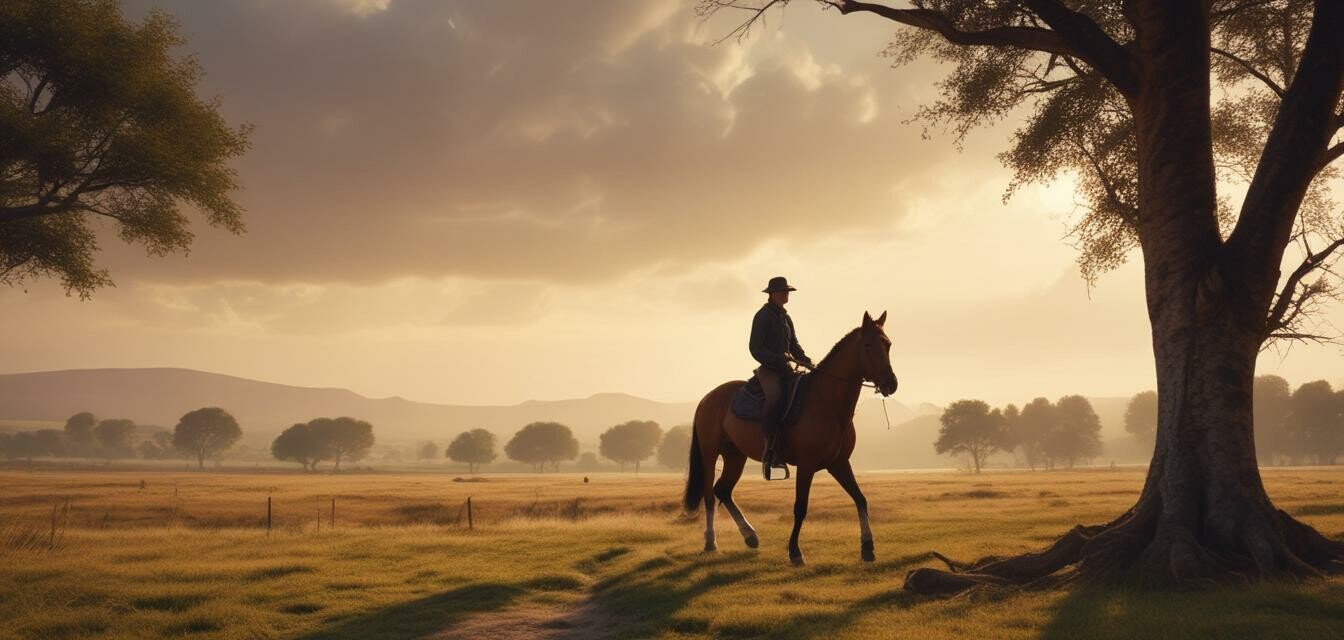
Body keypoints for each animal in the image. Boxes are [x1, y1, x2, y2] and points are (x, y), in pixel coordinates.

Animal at [688, 310, 897, 564]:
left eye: (887, 344)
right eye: (868, 345)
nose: (891, 383)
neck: (825, 402)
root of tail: (707, 398)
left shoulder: (839, 463)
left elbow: (860, 498)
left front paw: (867, 545)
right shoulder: (807, 465)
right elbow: (800, 507)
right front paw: (795, 552)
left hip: (735, 456)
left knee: (723, 490)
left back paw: (750, 536)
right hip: (710, 454)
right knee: (709, 495)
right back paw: (711, 541)